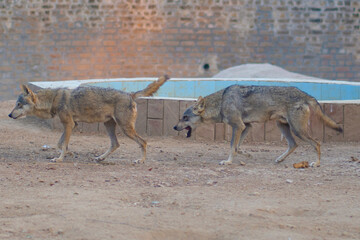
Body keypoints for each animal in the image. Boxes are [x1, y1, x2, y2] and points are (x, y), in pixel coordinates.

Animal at [9, 75, 169, 163]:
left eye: (19, 105)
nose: (10, 115)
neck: (53, 99)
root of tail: (130, 94)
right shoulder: (72, 125)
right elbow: (59, 144)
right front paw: (69, 153)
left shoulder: (69, 124)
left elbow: (63, 144)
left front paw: (60, 159)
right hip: (108, 126)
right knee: (115, 144)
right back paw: (100, 158)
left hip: (125, 129)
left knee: (143, 142)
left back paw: (141, 161)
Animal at [174, 86, 344, 167]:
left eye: (185, 117)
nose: (174, 127)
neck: (221, 102)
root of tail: (306, 94)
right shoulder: (246, 126)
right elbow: (236, 147)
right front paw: (247, 155)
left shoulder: (238, 126)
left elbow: (232, 146)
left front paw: (228, 162)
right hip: (283, 126)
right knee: (293, 144)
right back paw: (280, 159)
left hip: (298, 130)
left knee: (317, 143)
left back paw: (317, 163)